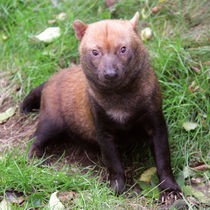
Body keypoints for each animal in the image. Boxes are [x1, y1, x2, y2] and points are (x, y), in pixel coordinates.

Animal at [20, 12, 180, 200]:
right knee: (35, 138)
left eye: (123, 48)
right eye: (95, 52)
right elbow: (113, 163)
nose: (110, 73)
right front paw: (116, 189)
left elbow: (163, 160)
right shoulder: (102, 128)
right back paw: (34, 157)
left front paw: (171, 190)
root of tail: (51, 79)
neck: (121, 104)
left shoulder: (155, 120)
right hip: (51, 120)